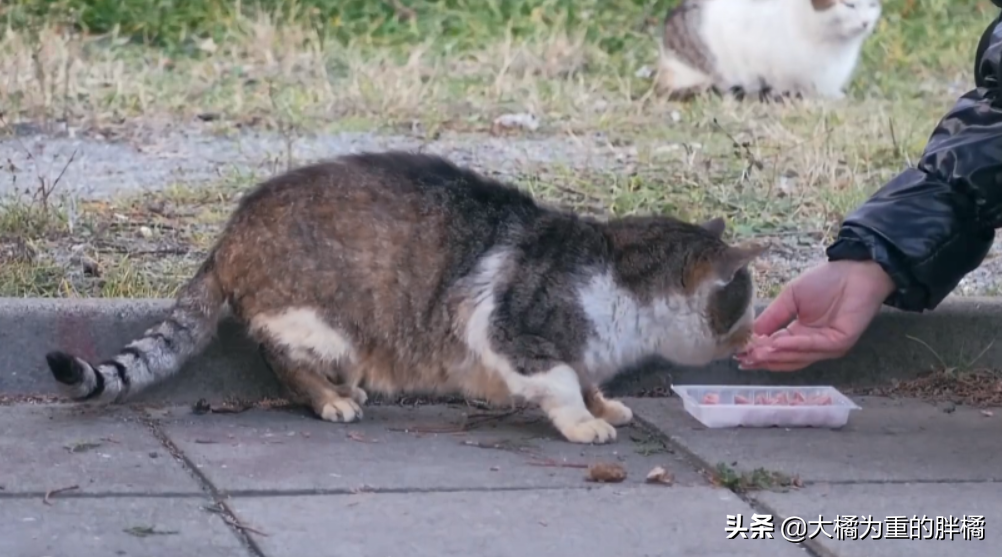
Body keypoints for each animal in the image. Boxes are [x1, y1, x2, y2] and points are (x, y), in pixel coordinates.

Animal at [45, 151, 765, 444]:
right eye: (747, 308)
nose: (755, 338)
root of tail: (229, 232)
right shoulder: (515, 336)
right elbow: (561, 382)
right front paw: (584, 420)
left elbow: (585, 375)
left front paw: (605, 403)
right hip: (323, 318)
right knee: (281, 356)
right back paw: (332, 398)